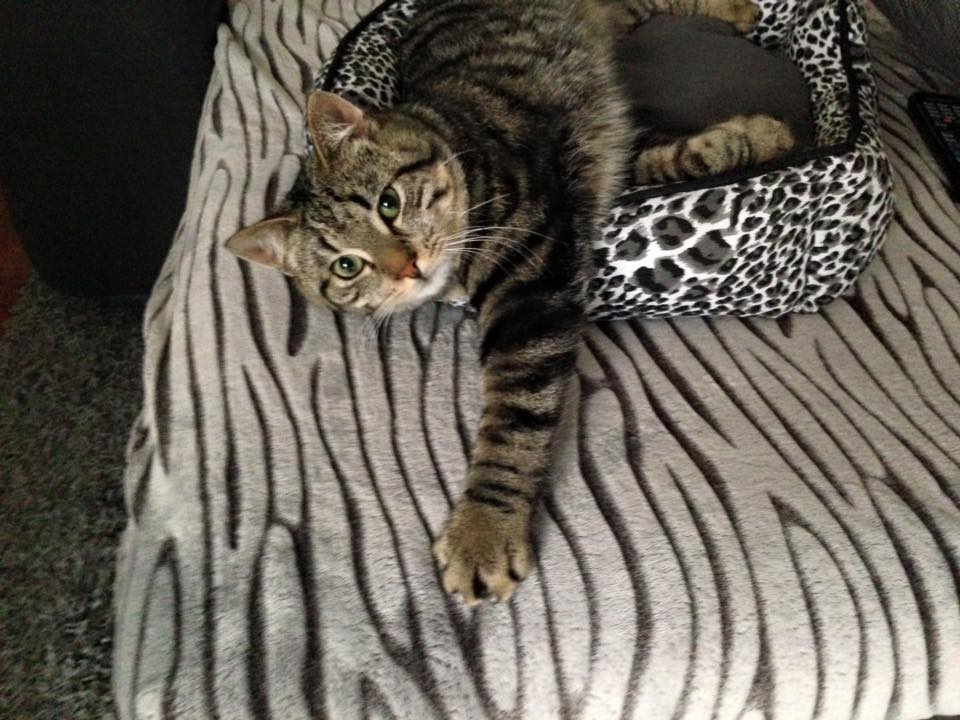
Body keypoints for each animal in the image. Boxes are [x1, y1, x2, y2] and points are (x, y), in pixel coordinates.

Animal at [226, 0, 793, 605]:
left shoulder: (530, 290)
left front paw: (484, 531)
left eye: (388, 203)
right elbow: (672, 156)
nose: (407, 267)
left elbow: (513, 421)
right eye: (347, 266)